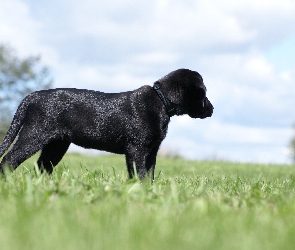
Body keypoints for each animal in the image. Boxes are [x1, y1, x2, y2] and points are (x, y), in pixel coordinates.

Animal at [0, 68, 213, 180]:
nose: (212, 108)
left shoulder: (152, 150)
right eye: (203, 93)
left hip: (56, 145)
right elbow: (139, 172)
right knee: (9, 160)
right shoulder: (136, 148)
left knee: (42, 166)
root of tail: (32, 96)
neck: (162, 102)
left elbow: (149, 173)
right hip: (33, 135)